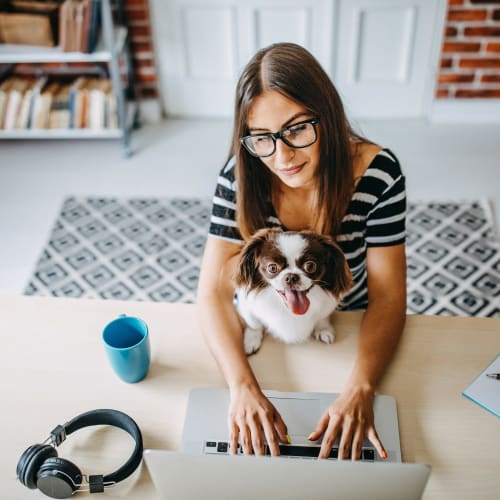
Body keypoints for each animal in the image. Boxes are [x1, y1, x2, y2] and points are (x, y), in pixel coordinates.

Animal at [234, 228, 352, 356]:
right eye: (272, 268)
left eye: (310, 266)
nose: (291, 277)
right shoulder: (247, 306)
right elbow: (253, 324)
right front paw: (251, 340)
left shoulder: (326, 308)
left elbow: (322, 318)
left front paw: (323, 329)